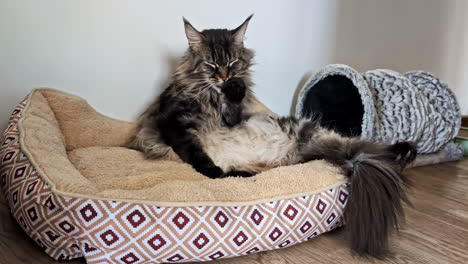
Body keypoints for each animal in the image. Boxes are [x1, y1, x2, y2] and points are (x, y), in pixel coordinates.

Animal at [129, 15, 416, 256]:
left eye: (232, 62)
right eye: (211, 64)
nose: (225, 77)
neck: (212, 96)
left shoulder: (233, 118)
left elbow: (234, 105)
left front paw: (237, 87)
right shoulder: (174, 124)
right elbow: (197, 155)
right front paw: (213, 172)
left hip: (320, 136)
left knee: (370, 148)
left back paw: (407, 151)